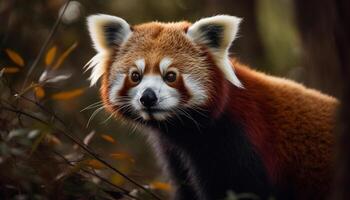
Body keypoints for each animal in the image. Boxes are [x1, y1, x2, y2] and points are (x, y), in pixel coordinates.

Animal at [85, 14, 340, 200]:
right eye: (135, 76)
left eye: (171, 76)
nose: (148, 98)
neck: (184, 131)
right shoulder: (174, 153)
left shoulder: (239, 141)